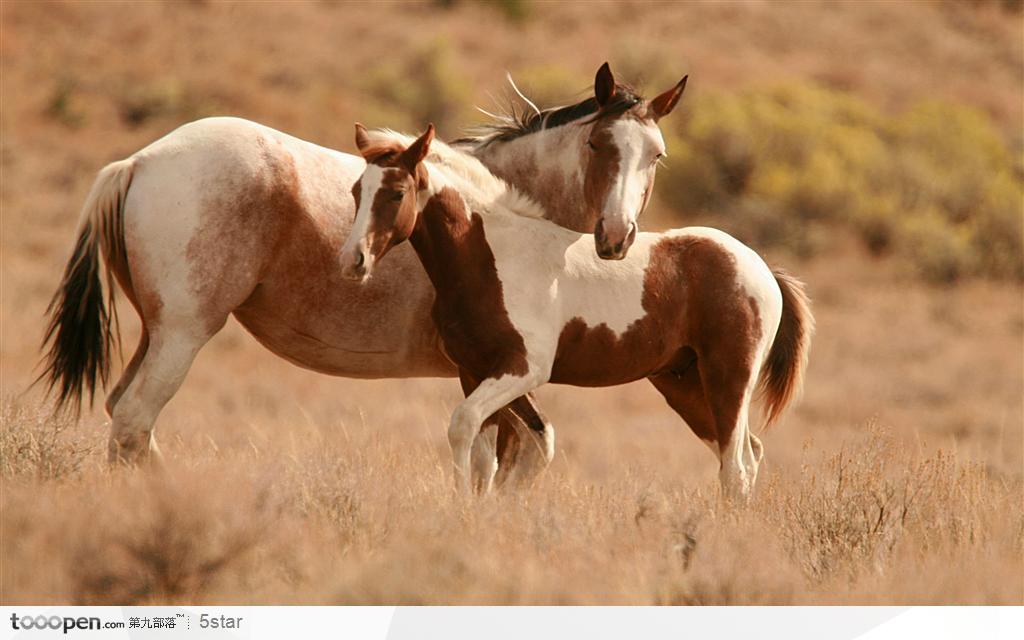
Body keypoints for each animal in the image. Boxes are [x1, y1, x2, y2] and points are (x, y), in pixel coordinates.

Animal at [39, 63, 688, 483]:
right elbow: (506, 457)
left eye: (656, 155)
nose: (616, 237)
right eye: (600, 144)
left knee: (126, 421)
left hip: (156, 333)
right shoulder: (492, 372)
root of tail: (139, 161)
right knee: (133, 422)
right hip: (182, 334)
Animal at [344, 125, 815, 499]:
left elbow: (462, 426)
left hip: (728, 378)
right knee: (746, 455)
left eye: (397, 193)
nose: (353, 260)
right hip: (684, 384)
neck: (490, 256)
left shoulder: (524, 369)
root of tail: (761, 268)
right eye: (356, 192)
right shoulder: (475, 371)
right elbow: (484, 454)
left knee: (736, 467)